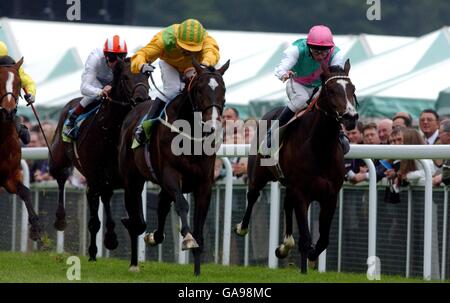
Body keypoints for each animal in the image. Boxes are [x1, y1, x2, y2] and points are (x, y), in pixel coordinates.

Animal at [49, 58, 149, 262]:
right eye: (126, 77)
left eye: (147, 75)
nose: (142, 100)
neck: (110, 133)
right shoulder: (94, 179)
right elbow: (94, 221)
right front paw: (93, 253)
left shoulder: (128, 179)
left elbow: (138, 222)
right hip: (59, 158)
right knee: (61, 177)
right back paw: (61, 219)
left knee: (106, 197)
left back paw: (110, 236)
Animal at [118, 59, 230, 276]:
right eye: (199, 90)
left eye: (223, 89)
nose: (212, 126)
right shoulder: (171, 174)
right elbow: (182, 204)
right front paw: (187, 239)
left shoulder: (204, 184)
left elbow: (199, 226)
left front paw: (197, 271)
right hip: (132, 179)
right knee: (136, 218)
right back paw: (134, 263)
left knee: (161, 207)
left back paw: (154, 237)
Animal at [236, 60, 358, 274]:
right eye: (331, 90)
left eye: (353, 89)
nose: (351, 117)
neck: (320, 148)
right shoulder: (302, 192)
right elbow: (306, 237)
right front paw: (304, 268)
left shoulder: (330, 195)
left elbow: (323, 239)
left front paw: (311, 256)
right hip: (258, 173)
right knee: (252, 196)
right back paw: (242, 228)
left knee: (286, 204)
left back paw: (285, 245)